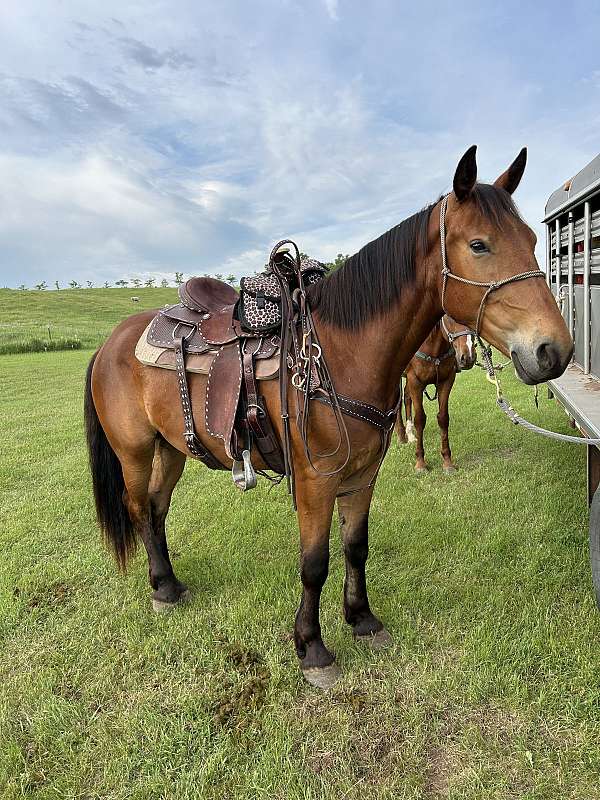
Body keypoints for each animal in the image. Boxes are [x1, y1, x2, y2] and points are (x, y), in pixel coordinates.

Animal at [396, 316, 476, 472]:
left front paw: (447, 461)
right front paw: (420, 462)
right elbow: (420, 419)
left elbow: (443, 418)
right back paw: (402, 435)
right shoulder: (415, 381)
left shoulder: (446, 381)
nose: (468, 356)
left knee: (407, 398)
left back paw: (410, 434)